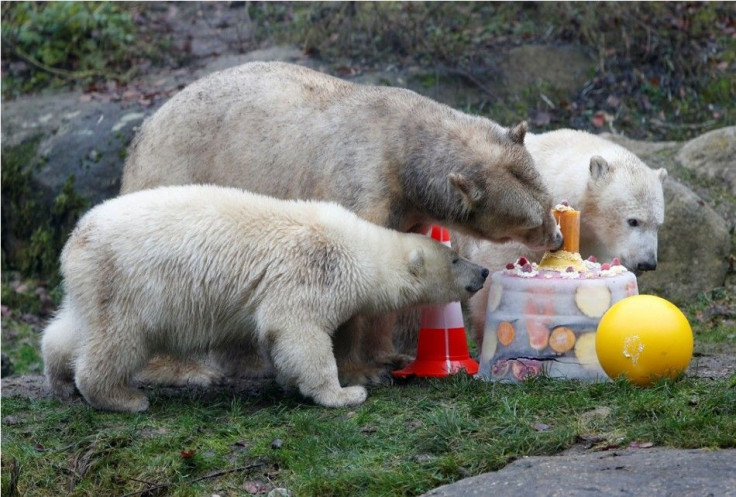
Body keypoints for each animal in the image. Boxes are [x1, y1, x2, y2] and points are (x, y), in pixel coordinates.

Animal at [40, 185, 488, 410]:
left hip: (93, 282)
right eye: (454, 257)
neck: (356, 247)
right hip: (129, 284)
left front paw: (295, 382)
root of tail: (76, 238)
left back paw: (61, 378)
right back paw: (124, 398)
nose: (483, 272)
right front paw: (344, 393)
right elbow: (299, 331)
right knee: (119, 341)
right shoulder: (308, 271)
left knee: (74, 328)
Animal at [121, 59, 560, 384]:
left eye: (548, 199)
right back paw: (181, 370)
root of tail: (144, 130)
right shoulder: (361, 184)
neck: (402, 148)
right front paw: (360, 371)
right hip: (175, 177)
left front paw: (389, 358)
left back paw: (249, 364)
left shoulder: (407, 211)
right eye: (528, 221)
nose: (556, 238)